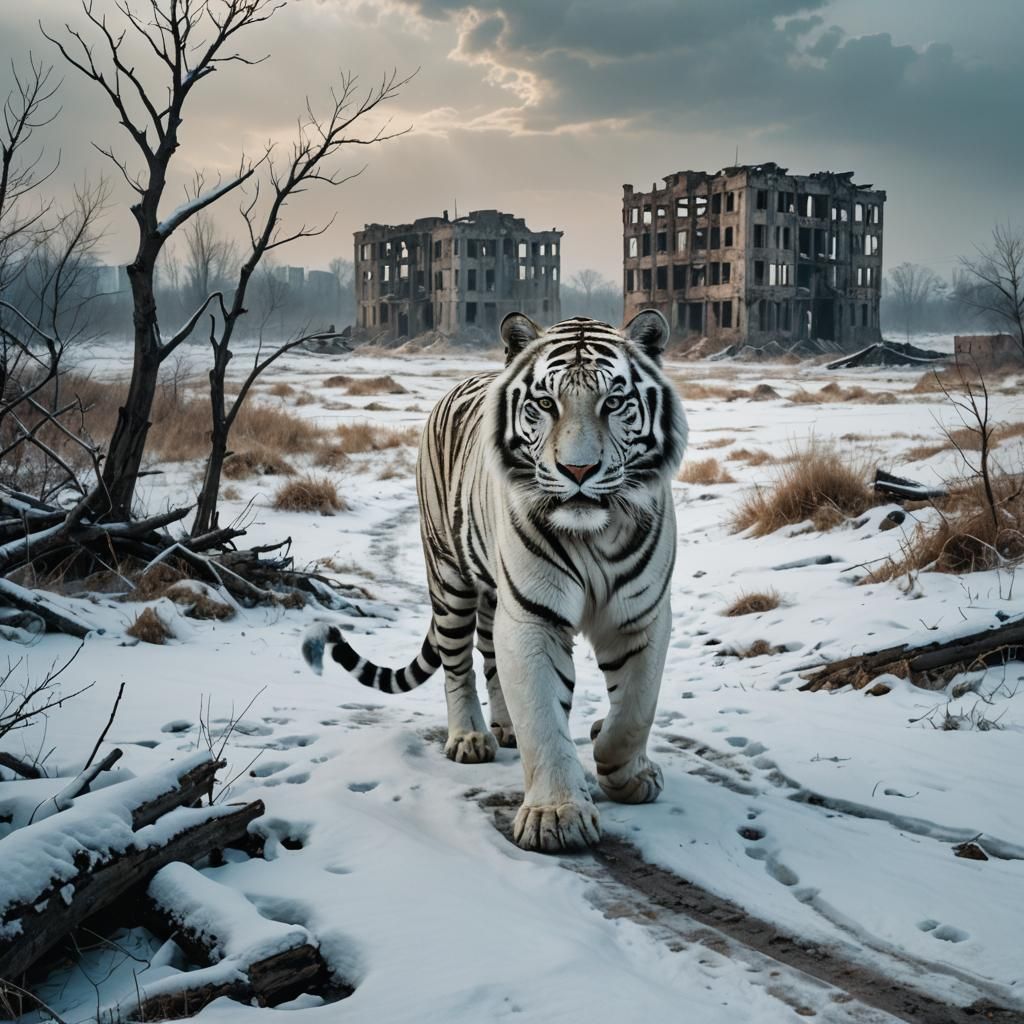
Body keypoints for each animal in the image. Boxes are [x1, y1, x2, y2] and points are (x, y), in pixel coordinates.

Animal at [302, 310, 688, 853]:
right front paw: (557, 816)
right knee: (458, 665)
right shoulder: (532, 616)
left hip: (492, 593)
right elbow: (543, 716)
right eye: (546, 404)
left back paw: (505, 727)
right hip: (450, 581)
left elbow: (635, 709)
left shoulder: (642, 615)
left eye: (613, 402)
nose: (578, 470)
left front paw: (624, 771)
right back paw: (471, 738)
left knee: (489, 658)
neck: (593, 534)